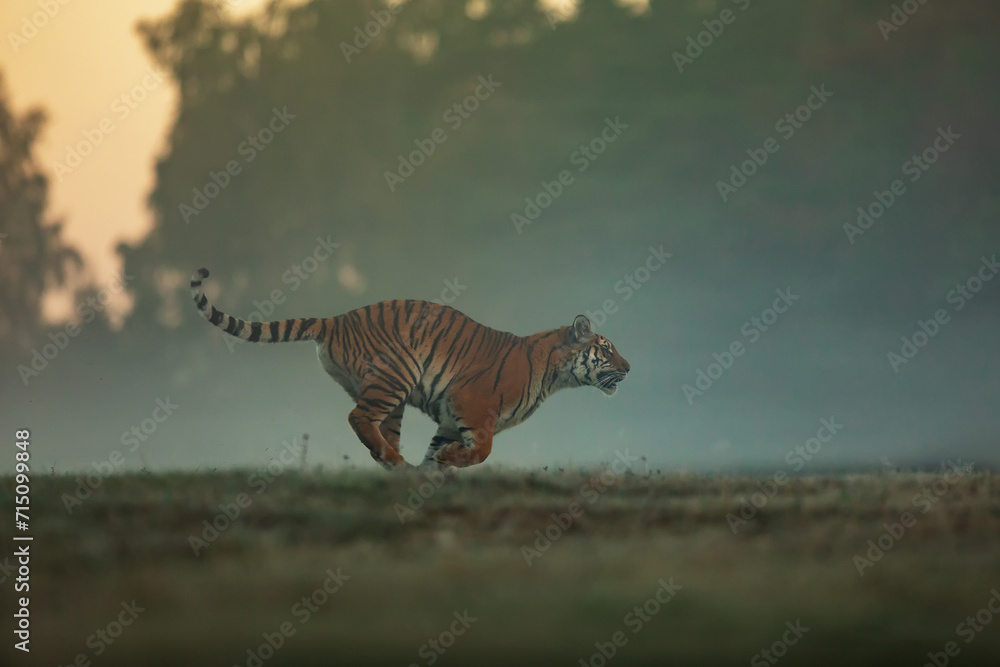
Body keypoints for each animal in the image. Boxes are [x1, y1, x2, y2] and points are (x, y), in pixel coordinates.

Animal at [190, 267, 630, 470]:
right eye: (607, 349)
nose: (629, 367)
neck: (555, 375)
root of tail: (337, 319)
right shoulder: (471, 404)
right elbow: (482, 451)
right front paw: (446, 463)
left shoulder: (451, 418)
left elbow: (440, 451)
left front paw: (434, 469)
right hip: (395, 376)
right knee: (358, 418)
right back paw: (396, 462)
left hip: (387, 394)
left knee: (376, 428)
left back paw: (397, 464)